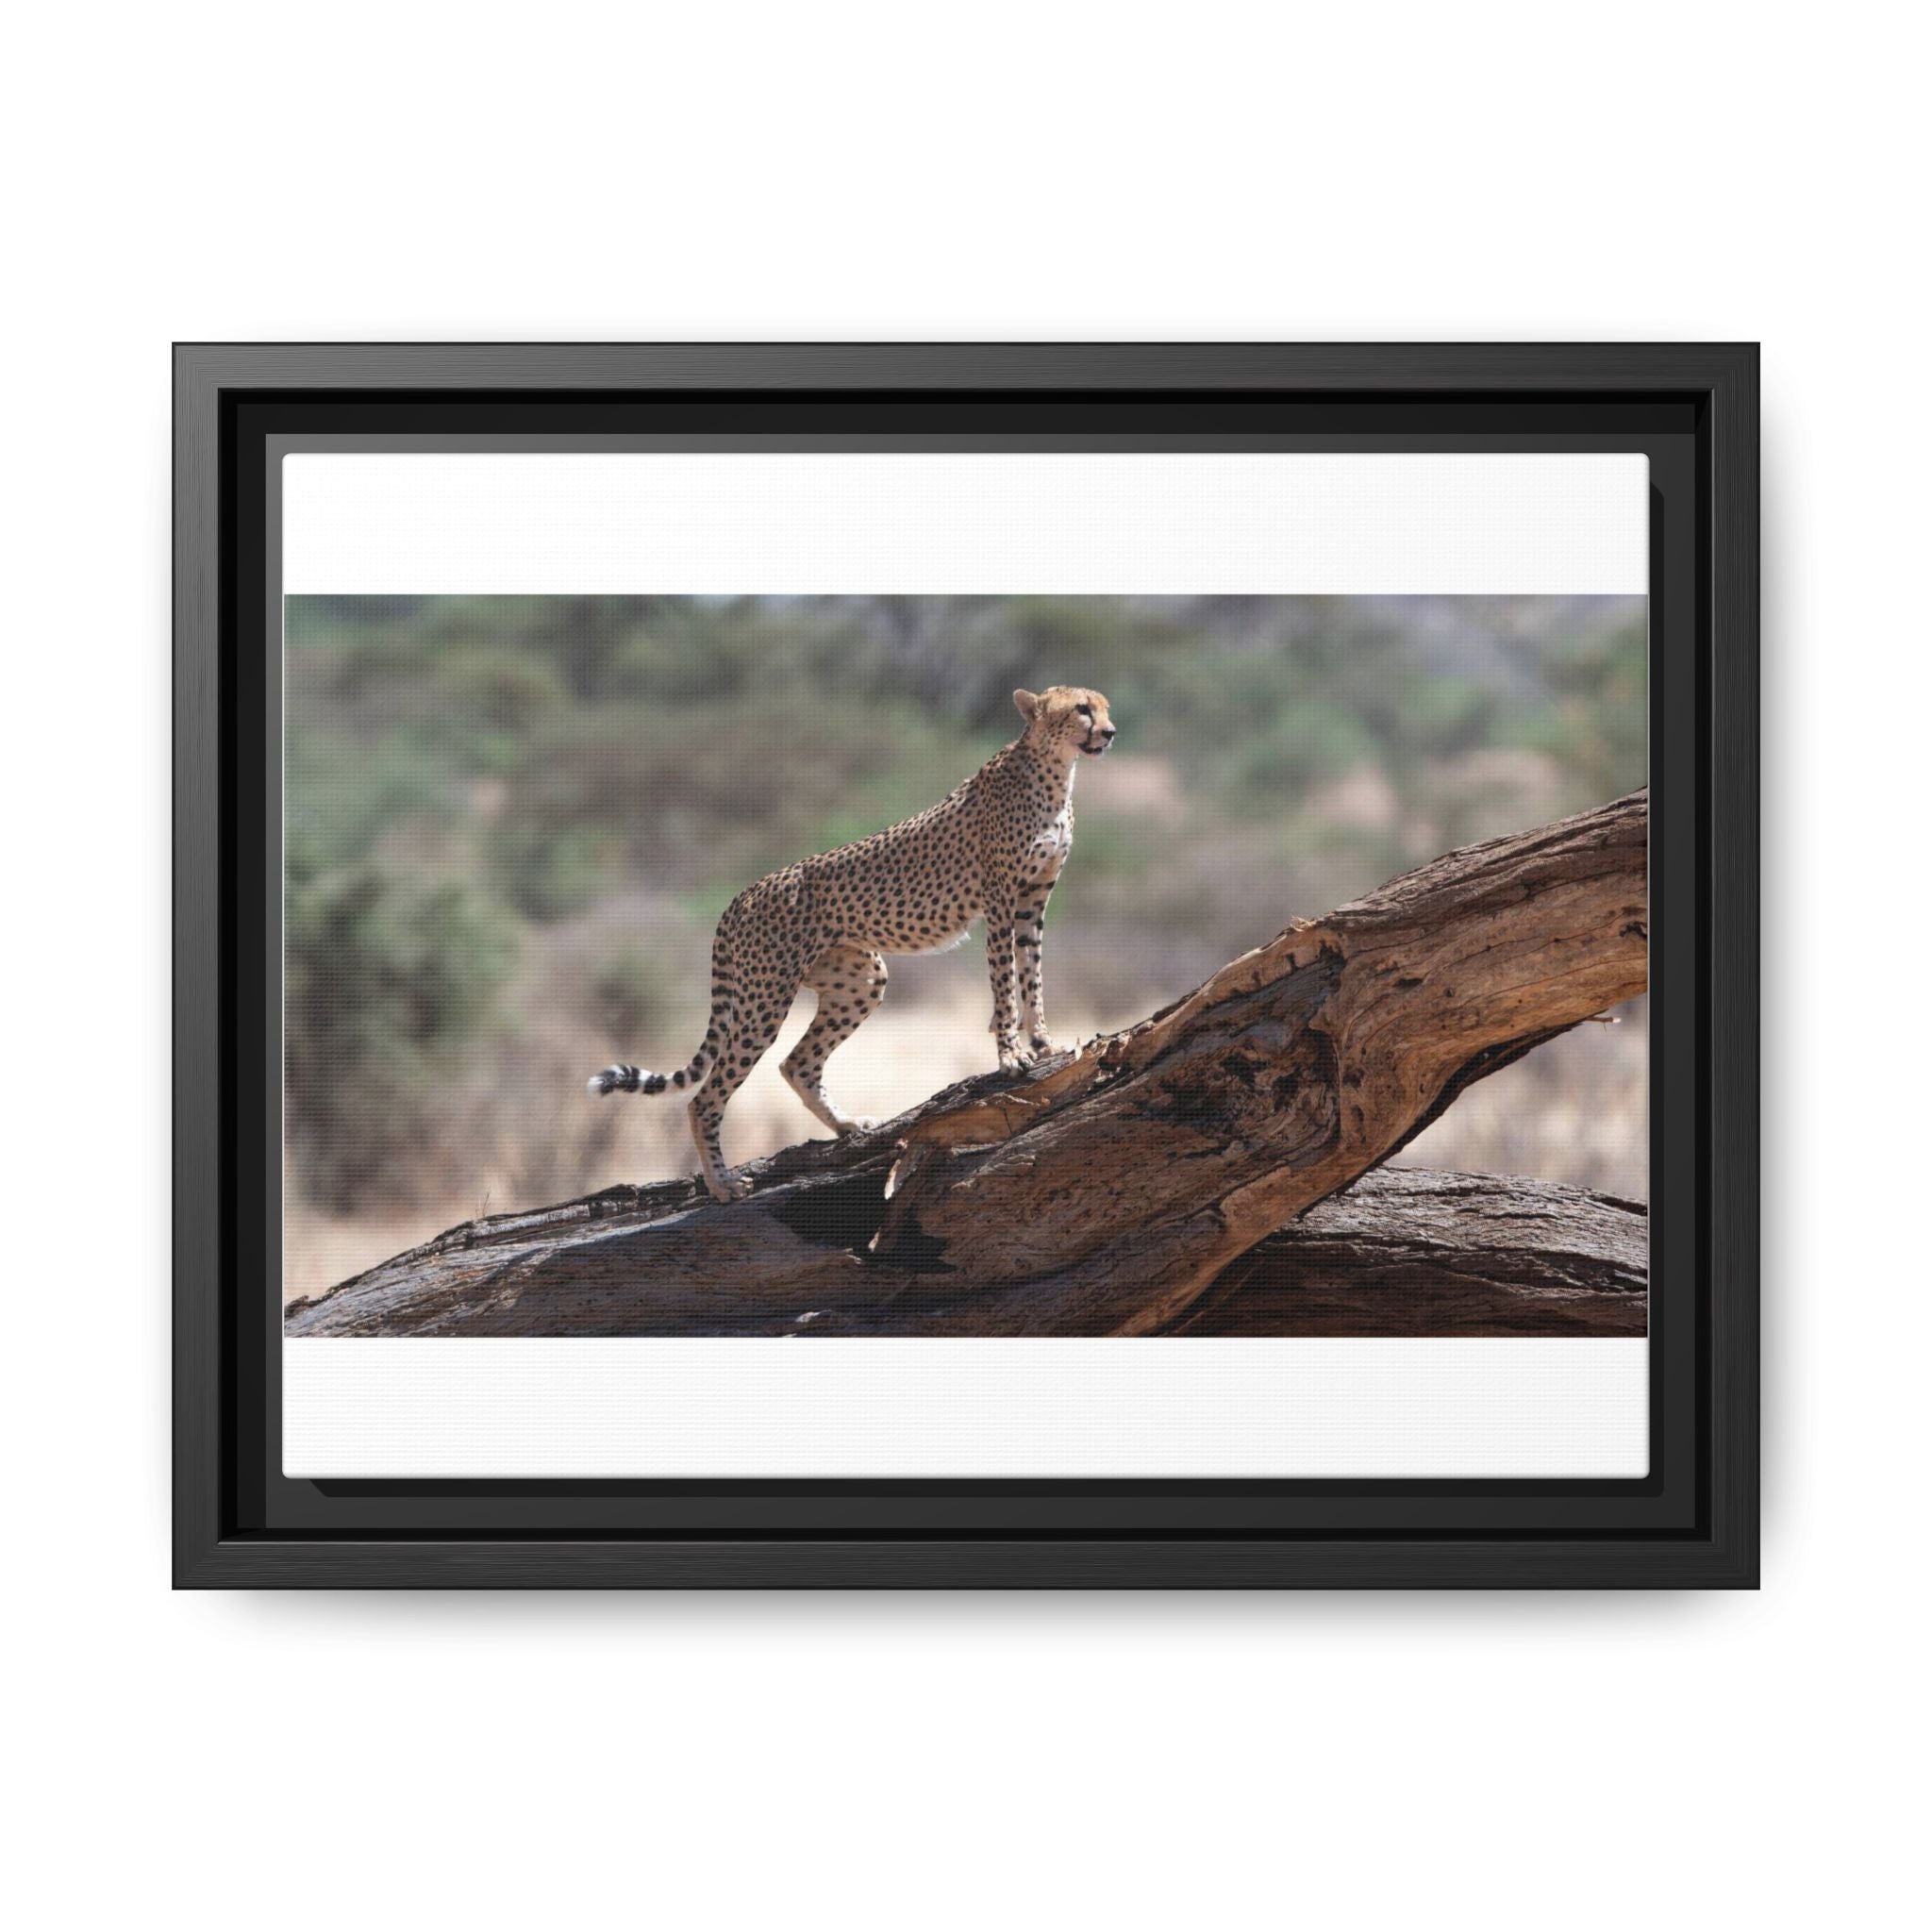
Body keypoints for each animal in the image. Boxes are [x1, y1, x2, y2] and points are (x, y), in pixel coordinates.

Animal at [588, 684, 1117, 1202]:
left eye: (1104, 707)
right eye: (1081, 709)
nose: (1110, 732)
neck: (1055, 771)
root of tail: (742, 894)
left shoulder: (1032, 902)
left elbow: (1032, 975)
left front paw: (1044, 1042)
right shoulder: (1001, 901)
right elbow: (1005, 983)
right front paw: (1011, 1056)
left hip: (860, 979)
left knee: (797, 1064)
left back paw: (846, 1126)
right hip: (765, 997)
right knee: (706, 1096)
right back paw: (723, 1184)